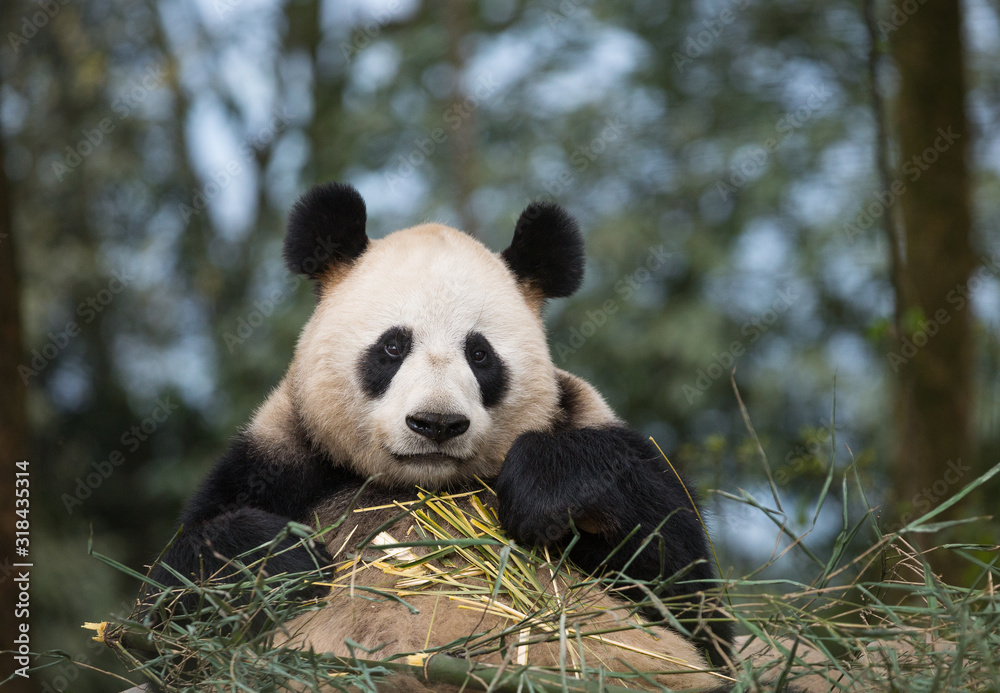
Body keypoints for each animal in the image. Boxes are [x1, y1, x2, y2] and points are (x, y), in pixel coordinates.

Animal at [150, 182, 735, 690]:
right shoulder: (279, 463)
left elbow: (691, 604)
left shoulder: (588, 426)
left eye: (480, 353)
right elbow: (170, 623)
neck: (423, 489)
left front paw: (542, 488)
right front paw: (280, 558)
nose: (436, 424)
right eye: (392, 347)